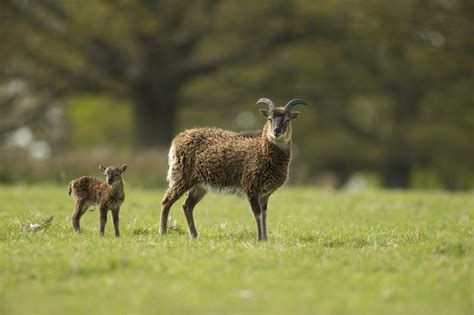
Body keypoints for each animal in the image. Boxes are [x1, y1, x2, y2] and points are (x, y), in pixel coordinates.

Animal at [160, 99, 308, 242]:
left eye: (287, 120)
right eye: (270, 119)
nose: (277, 131)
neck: (261, 150)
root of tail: (178, 139)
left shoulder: (265, 193)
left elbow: (264, 215)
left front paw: (265, 239)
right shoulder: (251, 187)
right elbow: (258, 214)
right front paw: (260, 239)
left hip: (199, 185)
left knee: (187, 206)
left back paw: (194, 235)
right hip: (181, 177)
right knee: (167, 201)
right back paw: (163, 232)